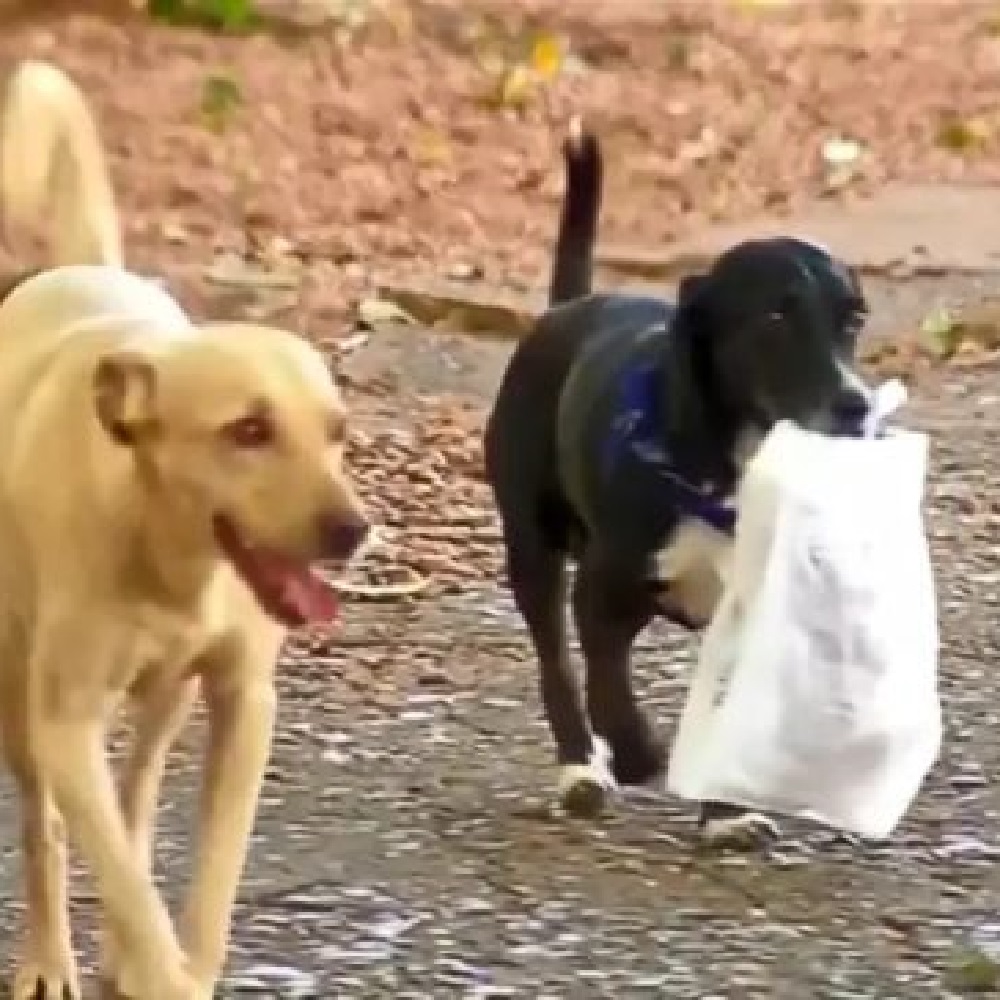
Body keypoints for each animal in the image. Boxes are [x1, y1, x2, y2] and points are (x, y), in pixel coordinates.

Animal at [480, 121, 872, 848]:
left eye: (853, 320)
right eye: (775, 319)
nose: (856, 405)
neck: (729, 466)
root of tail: (569, 306)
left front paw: (725, 814)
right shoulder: (602, 593)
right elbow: (607, 684)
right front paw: (638, 754)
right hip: (533, 545)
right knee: (556, 664)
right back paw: (582, 769)